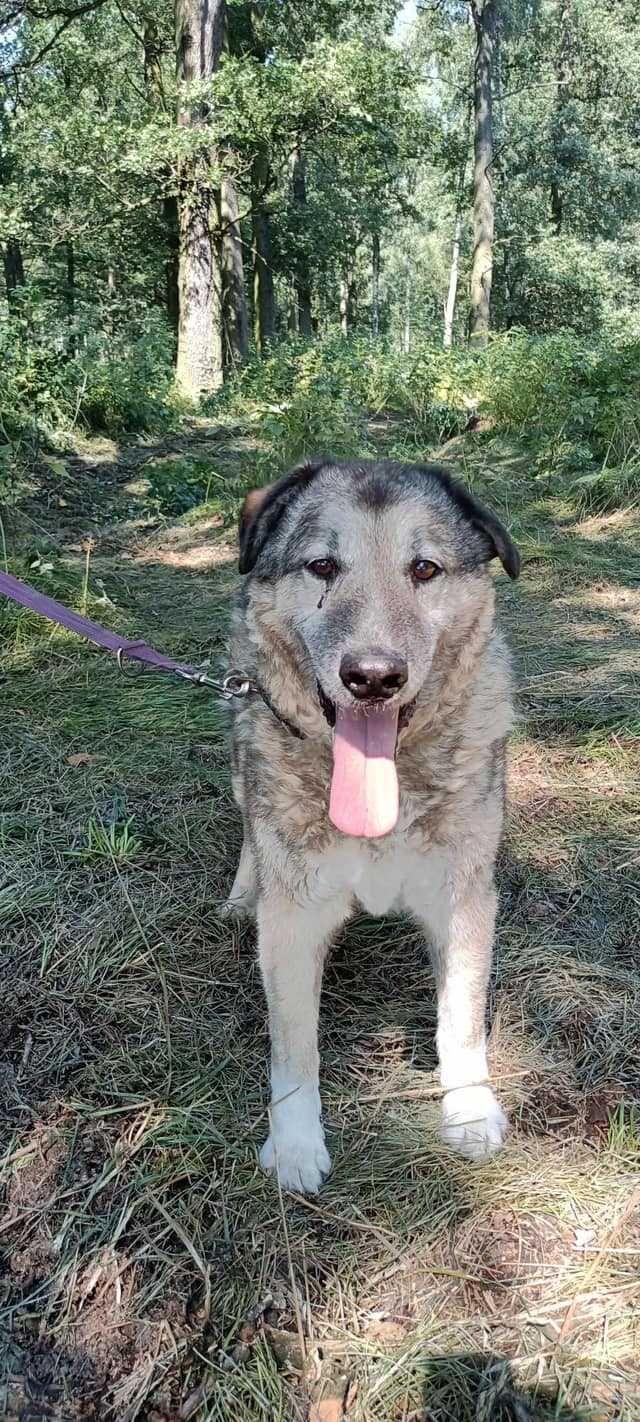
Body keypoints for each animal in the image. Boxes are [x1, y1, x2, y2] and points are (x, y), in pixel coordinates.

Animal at [224, 460, 520, 1194]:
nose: (374, 677)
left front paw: (469, 1109)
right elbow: (295, 1048)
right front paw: (295, 1144)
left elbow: (462, 1019)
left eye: (424, 568)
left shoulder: (463, 903)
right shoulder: (293, 920)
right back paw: (243, 891)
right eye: (322, 566)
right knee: (248, 821)